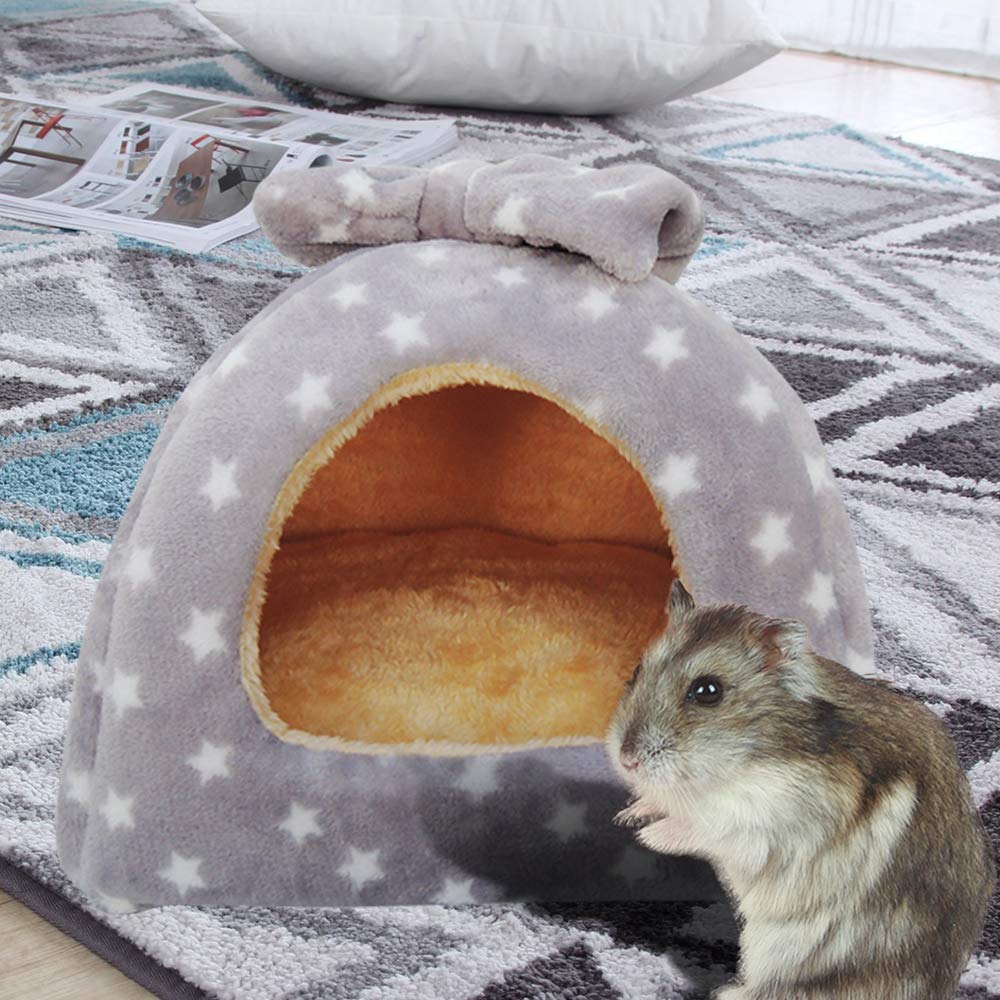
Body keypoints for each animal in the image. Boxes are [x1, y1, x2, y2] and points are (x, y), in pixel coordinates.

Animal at [607, 580, 995, 1000]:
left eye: (708, 691)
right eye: (637, 669)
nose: (627, 759)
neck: (740, 762)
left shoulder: (772, 824)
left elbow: (708, 826)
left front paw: (647, 836)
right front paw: (627, 814)